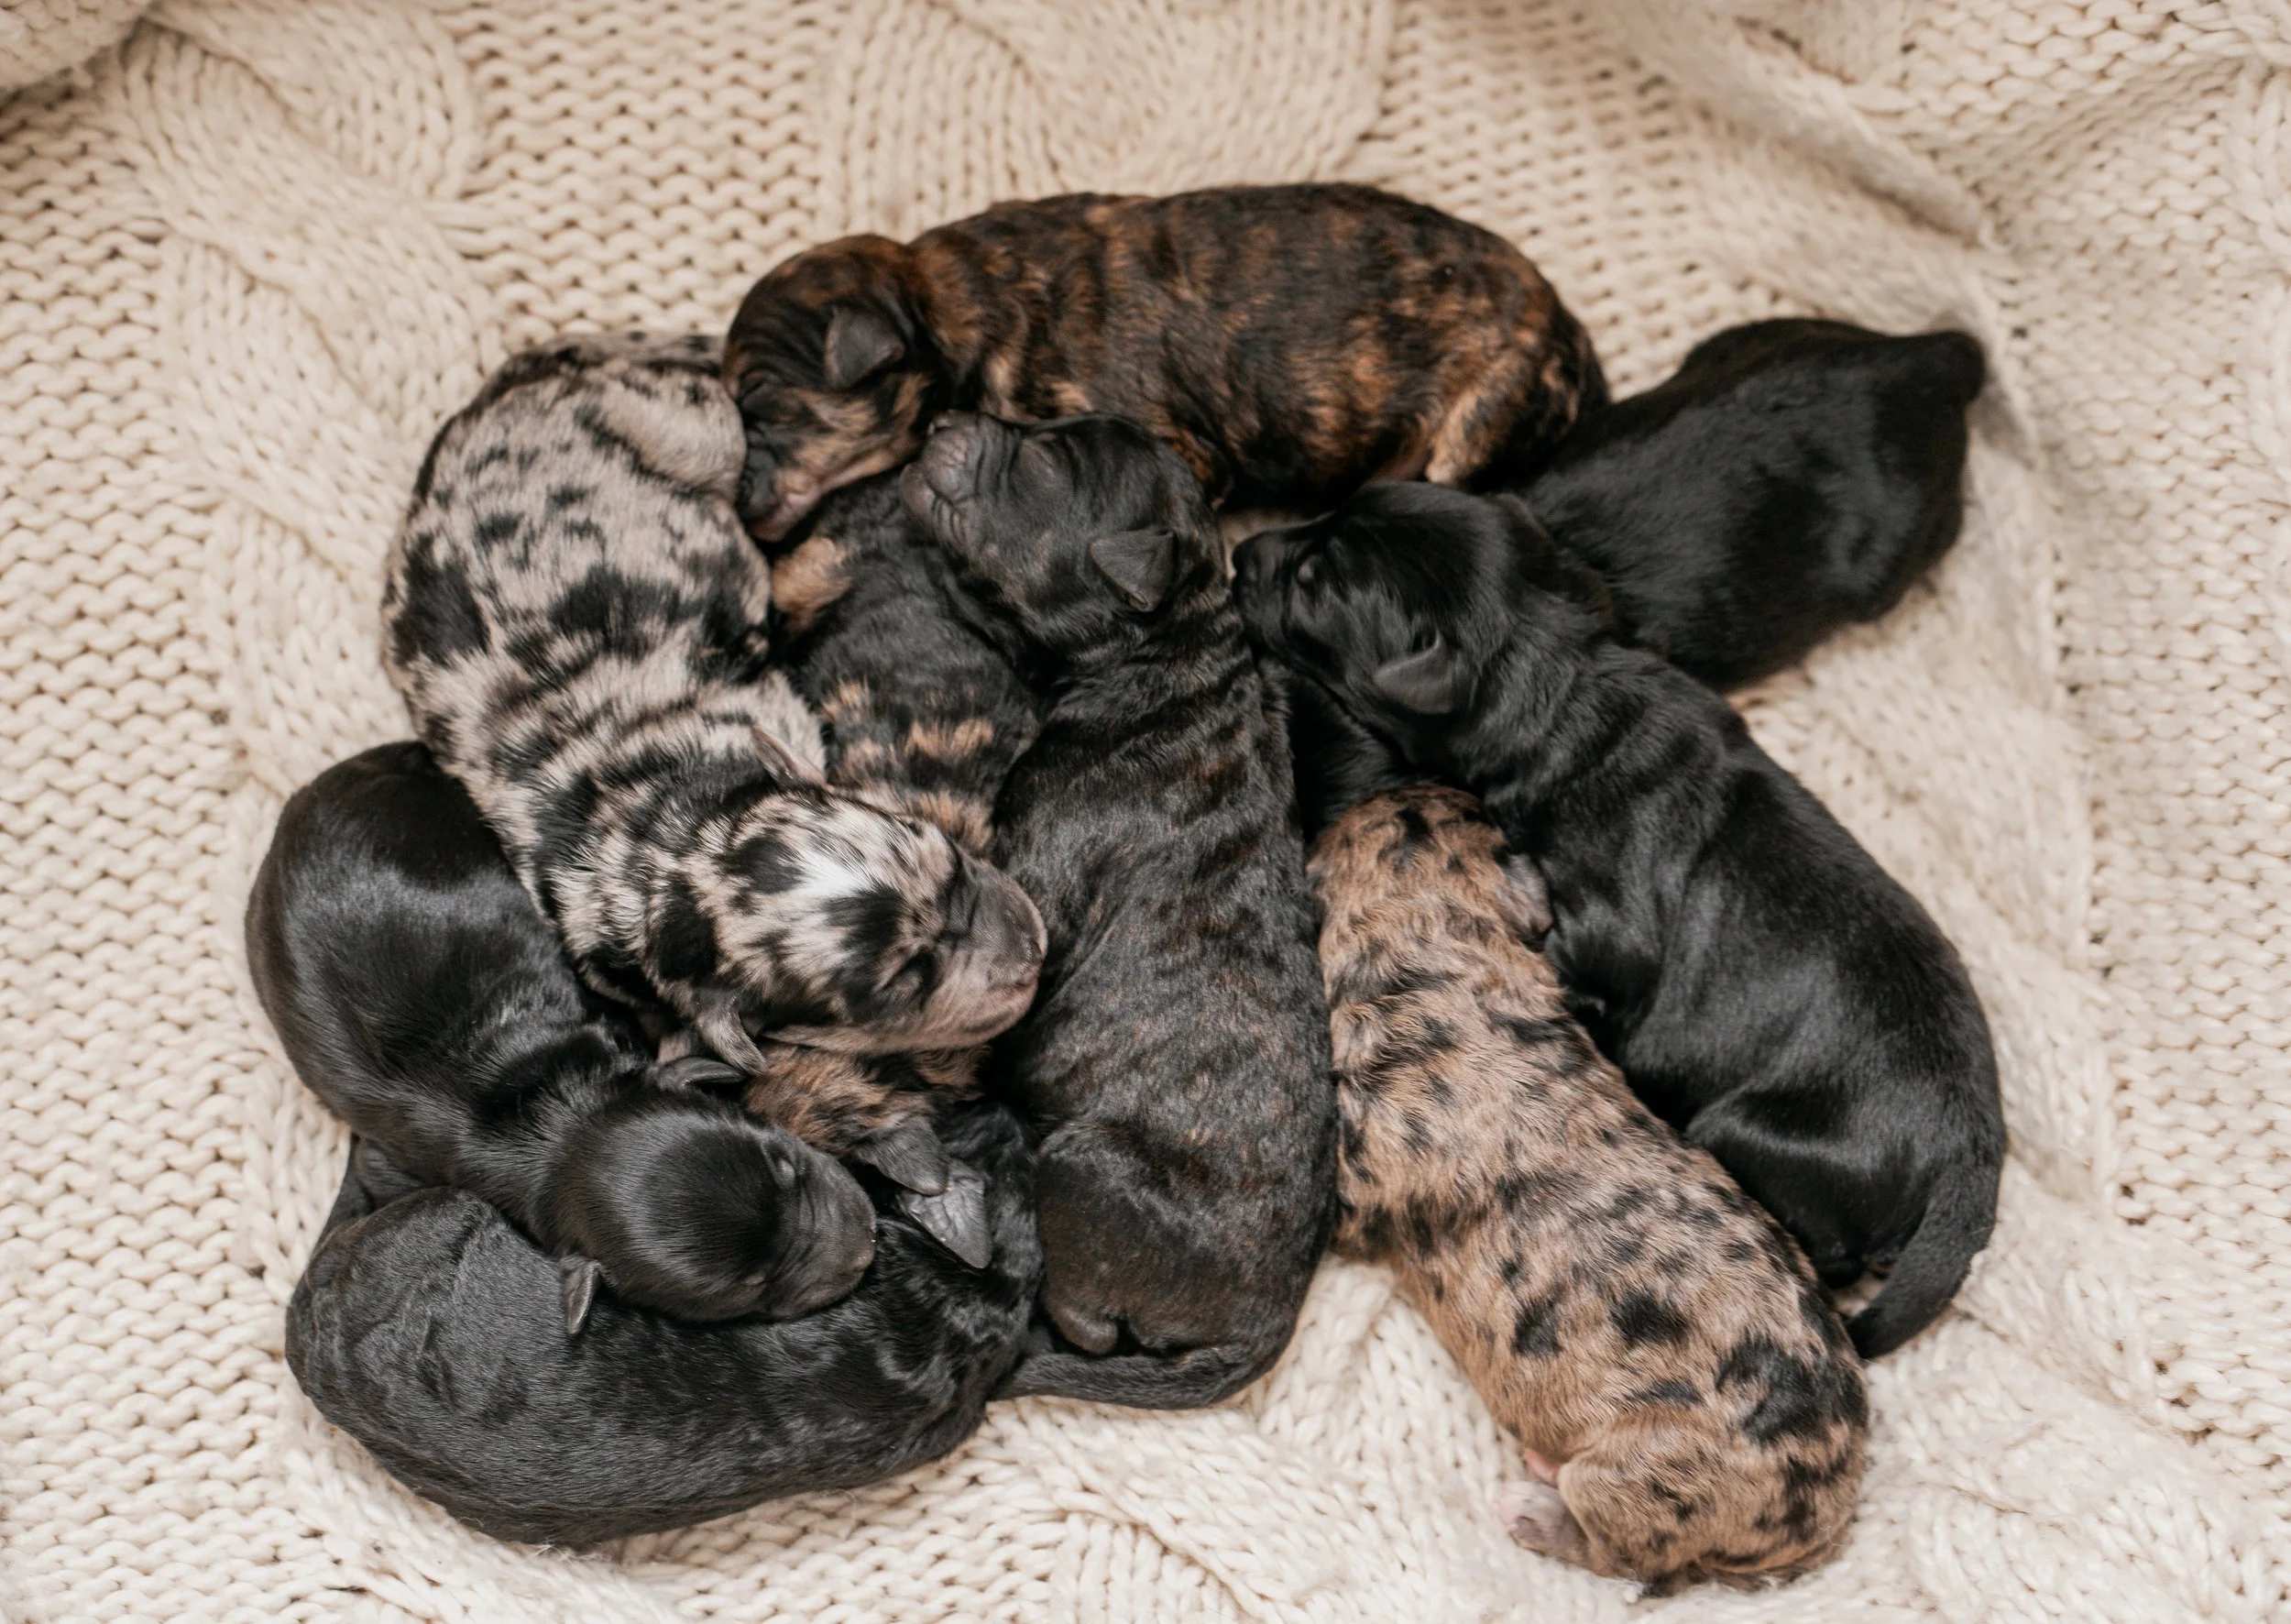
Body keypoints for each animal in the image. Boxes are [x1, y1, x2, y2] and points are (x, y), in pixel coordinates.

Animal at [380, 332, 1046, 1196]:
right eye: (903, 984)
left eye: (946, 853)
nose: (1034, 949)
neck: (665, 838)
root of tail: (512, 384)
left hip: (700, 431)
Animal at [725, 184, 1606, 540]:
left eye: (762, 403)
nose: (733, 500)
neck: (945, 301)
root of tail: (1569, 325)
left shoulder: (1181, 450)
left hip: (1482, 419)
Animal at [902, 411, 1336, 1407]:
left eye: (1041, 462)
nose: (944, 420)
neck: (1168, 659)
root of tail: (1268, 1325)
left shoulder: (1033, 885)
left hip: (1081, 1165)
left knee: (1088, 1322)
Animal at [1234, 481, 2005, 1359]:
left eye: (1313, 581)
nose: (1240, 553)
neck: (1568, 686)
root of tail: (1970, 1161)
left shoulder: (1609, 926)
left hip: (1756, 1132)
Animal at [1312, 786, 1866, 1590]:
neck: (1433, 950)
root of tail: (1826, 1521)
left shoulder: (1366, 1177)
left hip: (1645, 1476)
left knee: (1625, 1553)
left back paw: (1537, 1507)